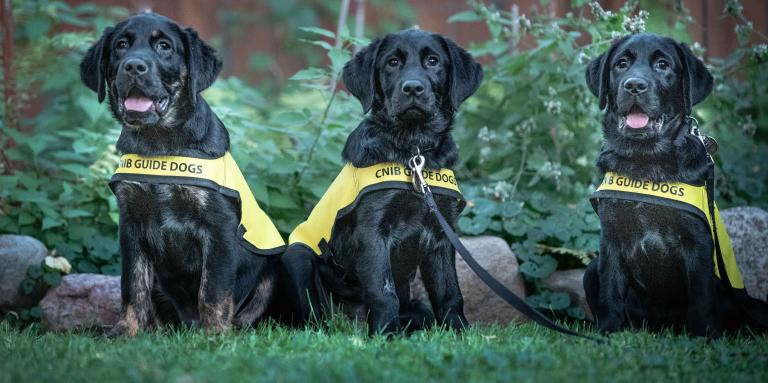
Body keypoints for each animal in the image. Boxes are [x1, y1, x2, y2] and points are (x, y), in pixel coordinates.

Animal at [80, 12, 284, 336]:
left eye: (164, 46)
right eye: (121, 45)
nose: (134, 66)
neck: (159, 143)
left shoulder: (218, 226)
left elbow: (213, 288)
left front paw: (215, 334)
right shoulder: (130, 224)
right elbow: (132, 285)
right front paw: (127, 331)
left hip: (273, 271)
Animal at [280, 29, 484, 336]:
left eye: (433, 61)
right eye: (392, 62)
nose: (412, 88)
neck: (413, 151)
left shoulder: (442, 234)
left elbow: (449, 293)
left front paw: (459, 333)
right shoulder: (373, 230)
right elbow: (383, 291)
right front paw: (384, 335)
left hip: (418, 308)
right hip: (297, 256)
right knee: (314, 314)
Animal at [584, 33, 768, 340]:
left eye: (663, 64)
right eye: (621, 64)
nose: (634, 85)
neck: (645, 162)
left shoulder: (698, 246)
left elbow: (702, 300)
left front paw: (705, 337)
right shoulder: (611, 240)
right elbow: (610, 295)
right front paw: (608, 334)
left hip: (751, 304)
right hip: (590, 271)